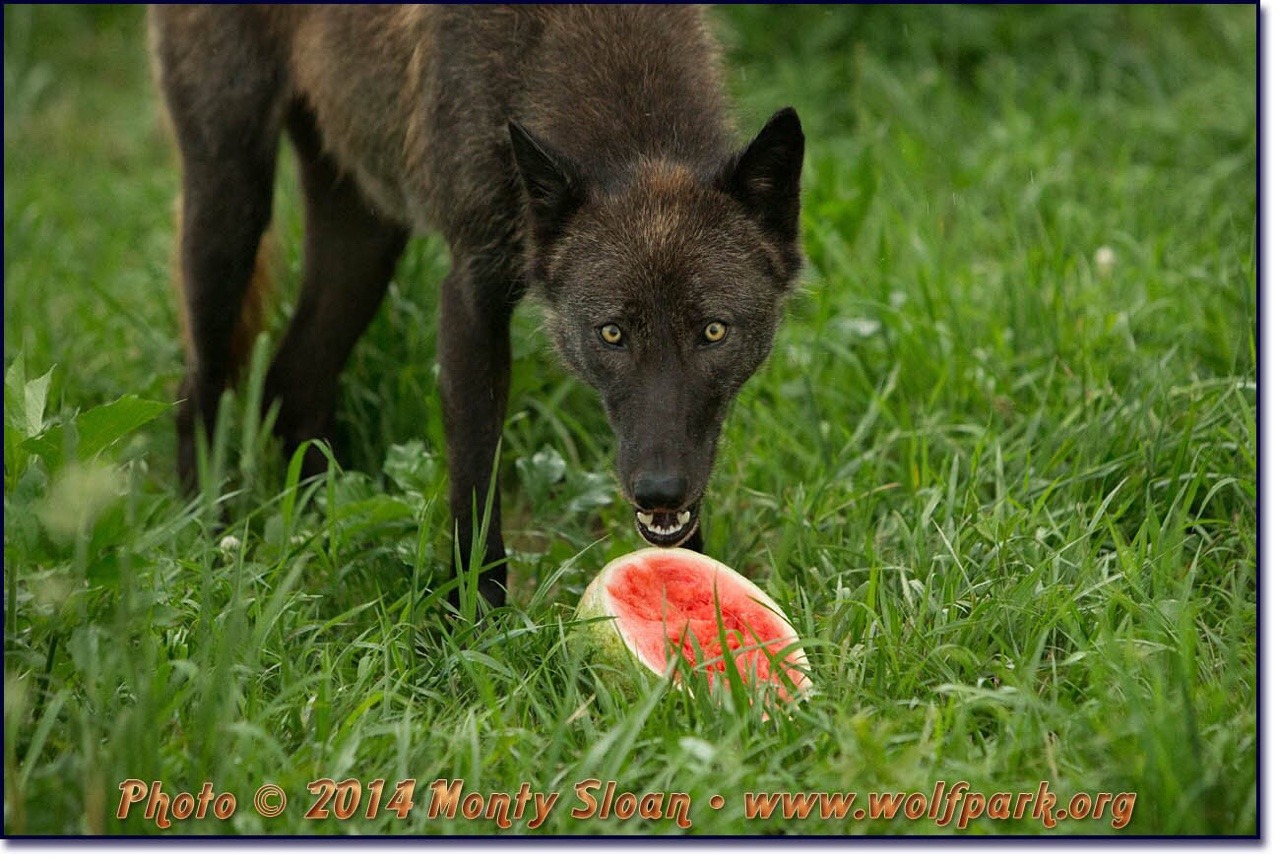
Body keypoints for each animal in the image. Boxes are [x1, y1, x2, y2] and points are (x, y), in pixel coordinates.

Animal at [149, 5, 798, 603]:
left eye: (713, 332)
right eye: (611, 334)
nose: (659, 490)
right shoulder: (469, 296)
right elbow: (476, 485)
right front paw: (475, 629)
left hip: (366, 244)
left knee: (292, 380)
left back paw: (316, 532)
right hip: (231, 208)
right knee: (197, 391)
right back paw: (210, 546)